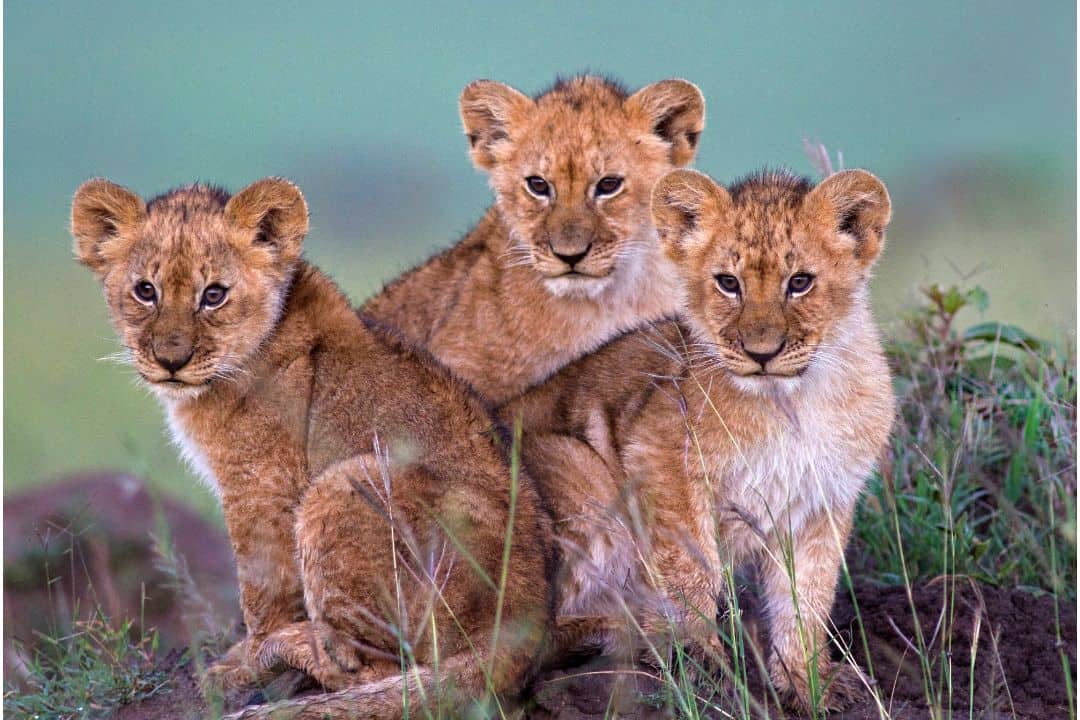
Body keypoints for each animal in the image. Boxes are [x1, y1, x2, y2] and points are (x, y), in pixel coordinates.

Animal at [72, 177, 553, 718]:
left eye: (213, 295)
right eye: (145, 291)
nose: (170, 360)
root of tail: (525, 627)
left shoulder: (260, 486)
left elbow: (261, 590)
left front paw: (247, 660)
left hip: (343, 481)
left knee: (374, 670)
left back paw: (288, 651)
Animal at [500, 168, 896, 711]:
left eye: (800, 283)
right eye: (728, 283)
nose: (762, 352)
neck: (791, 402)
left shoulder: (821, 502)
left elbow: (806, 598)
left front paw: (808, 682)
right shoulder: (660, 455)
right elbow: (692, 570)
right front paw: (704, 666)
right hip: (577, 469)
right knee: (529, 632)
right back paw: (626, 630)